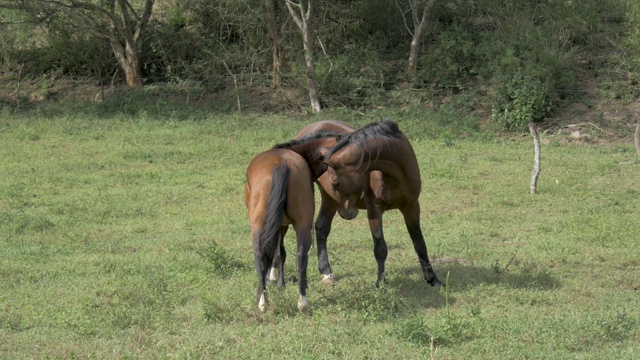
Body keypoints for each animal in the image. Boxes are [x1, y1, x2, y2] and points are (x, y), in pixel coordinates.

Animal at [244, 149, 314, 312]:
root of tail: (281, 163)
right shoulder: (282, 225)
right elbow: (280, 253)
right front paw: (280, 283)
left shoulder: (277, 226)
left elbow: (275, 253)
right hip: (303, 225)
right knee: (301, 257)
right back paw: (302, 303)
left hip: (257, 226)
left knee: (260, 258)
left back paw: (263, 302)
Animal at [288, 119, 442, 288]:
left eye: (335, 183)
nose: (348, 212)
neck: (396, 175)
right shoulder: (374, 209)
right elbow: (380, 249)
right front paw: (381, 283)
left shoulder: (411, 207)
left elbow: (420, 244)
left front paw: (432, 279)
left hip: (330, 200)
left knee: (321, 228)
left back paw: (326, 272)